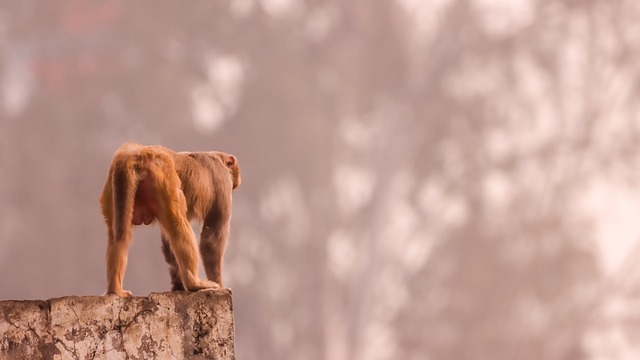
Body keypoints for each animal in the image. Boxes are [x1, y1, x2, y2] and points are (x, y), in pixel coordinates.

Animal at [99, 142, 241, 296]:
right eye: (233, 183)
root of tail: (139, 153)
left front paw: (178, 284)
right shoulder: (223, 183)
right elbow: (211, 239)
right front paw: (220, 284)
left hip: (114, 185)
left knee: (118, 235)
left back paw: (115, 289)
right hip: (163, 177)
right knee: (178, 225)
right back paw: (194, 283)